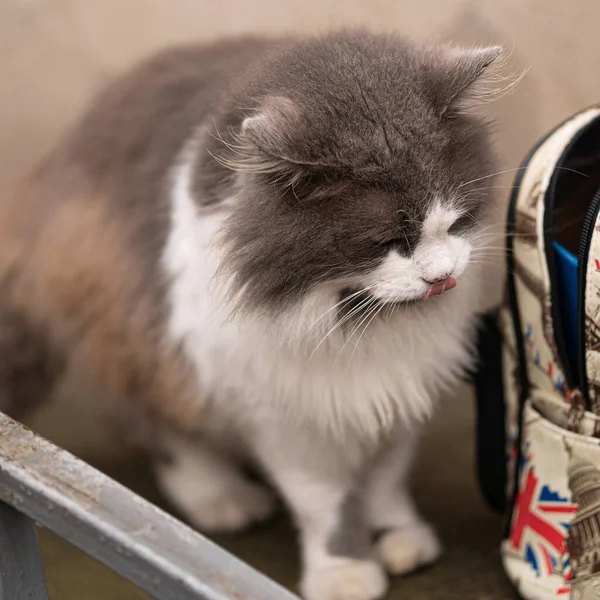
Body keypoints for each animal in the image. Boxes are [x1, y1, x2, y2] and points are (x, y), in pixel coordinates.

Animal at [1, 30, 502, 600]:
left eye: (456, 222)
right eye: (387, 243)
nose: (442, 277)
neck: (354, 317)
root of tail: (60, 156)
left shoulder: (399, 394)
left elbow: (384, 481)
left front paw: (398, 538)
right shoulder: (282, 412)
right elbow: (326, 503)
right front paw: (345, 572)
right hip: (137, 338)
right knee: (161, 430)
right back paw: (222, 498)